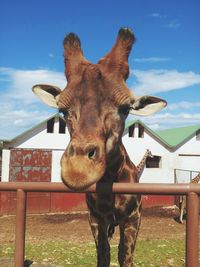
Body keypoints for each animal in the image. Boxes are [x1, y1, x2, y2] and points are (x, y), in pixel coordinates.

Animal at [32, 28, 166, 267]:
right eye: (63, 111)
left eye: (125, 109)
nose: (78, 171)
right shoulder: (96, 218)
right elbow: (103, 255)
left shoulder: (133, 217)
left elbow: (124, 256)